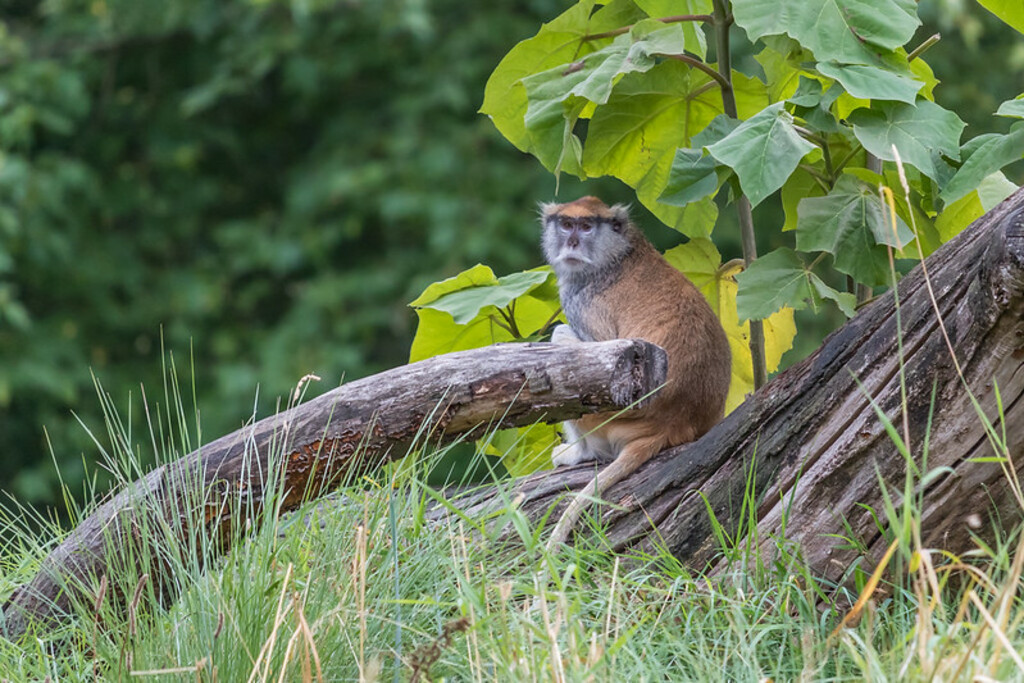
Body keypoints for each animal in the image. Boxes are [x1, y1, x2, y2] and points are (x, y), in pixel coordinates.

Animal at [540, 196, 732, 549]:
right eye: (566, 224)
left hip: (606, 421)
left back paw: (580, 453)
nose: (572, 242)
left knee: (562, 341)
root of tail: (671, 422)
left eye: (586, 227)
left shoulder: (583, 300)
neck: (619, 253)